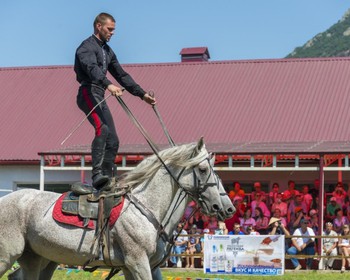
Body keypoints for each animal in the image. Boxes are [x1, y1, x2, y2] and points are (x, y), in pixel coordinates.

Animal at [1, 139, 235, 278]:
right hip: (8, 255)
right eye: (203, 169)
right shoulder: (137, 262)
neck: (147, 209)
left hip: (40, 258)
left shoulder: (144, 266)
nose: (227, 208)